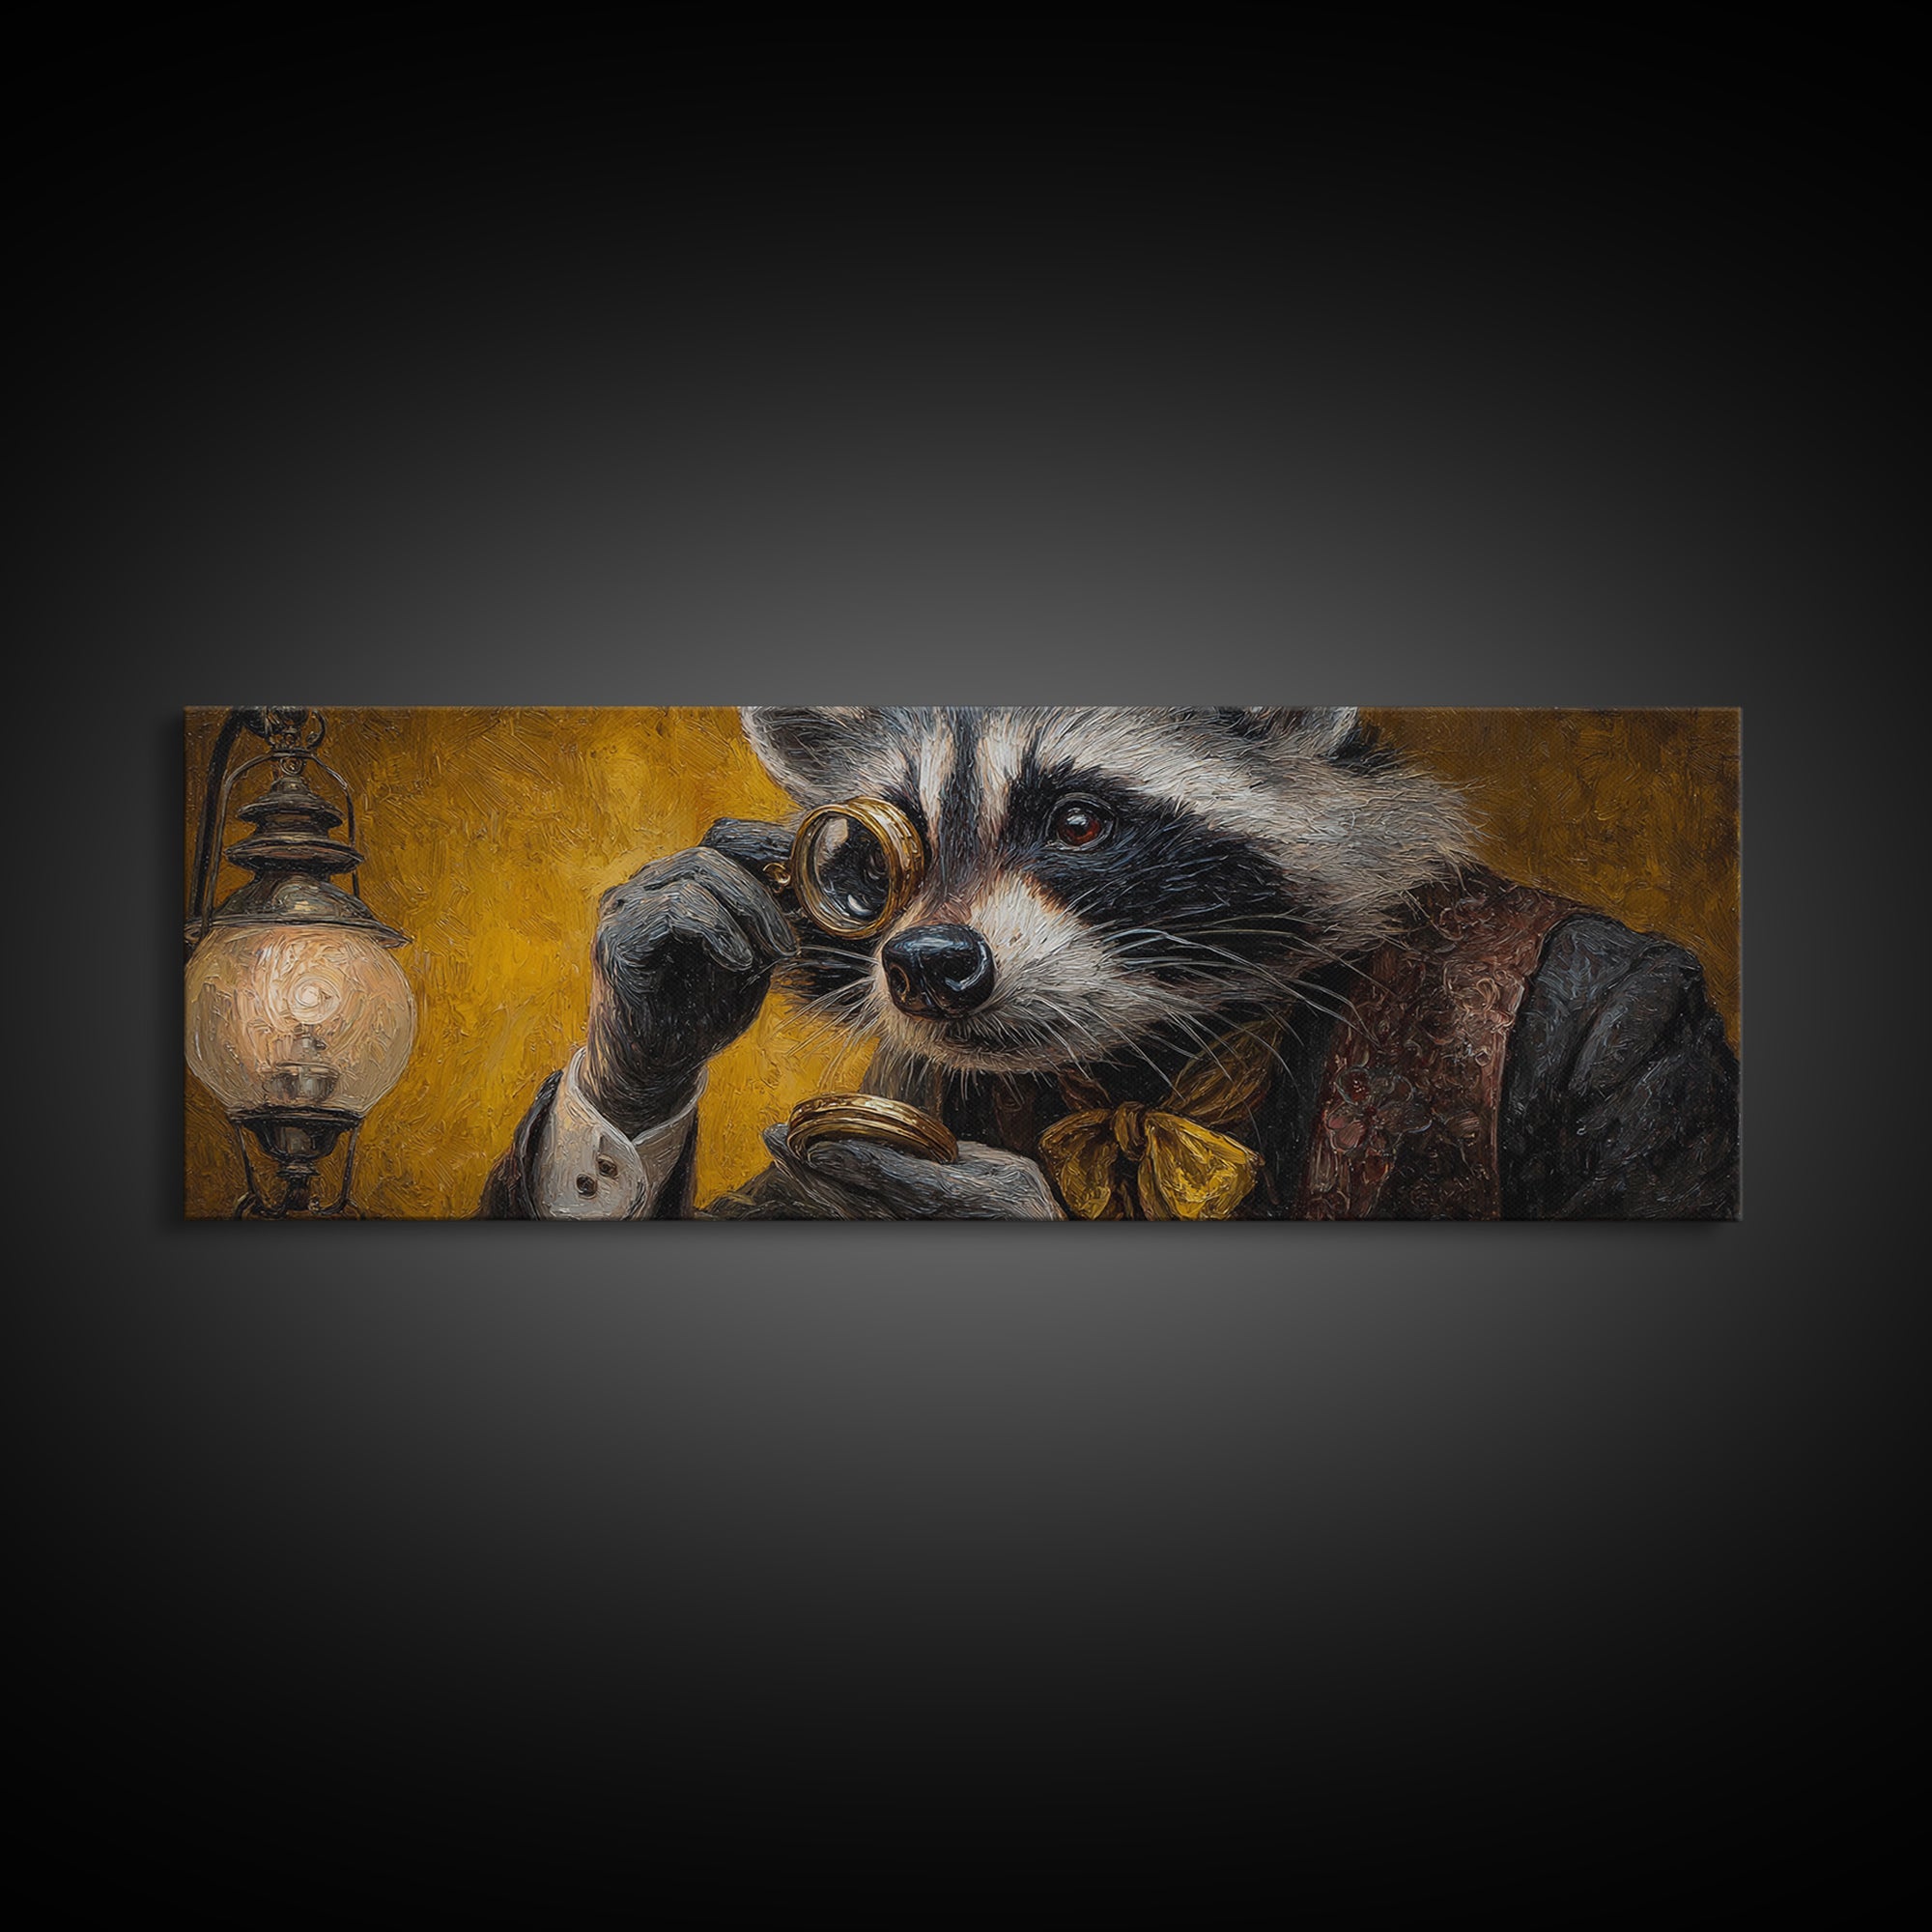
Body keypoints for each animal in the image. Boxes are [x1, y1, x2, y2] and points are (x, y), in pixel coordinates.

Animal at [480, 706, 1739, 1220]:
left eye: (1078, 822)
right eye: (878, 844)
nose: (929, 963)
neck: (1155, 1060)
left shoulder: (1630, 1060)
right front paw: (659, 992)